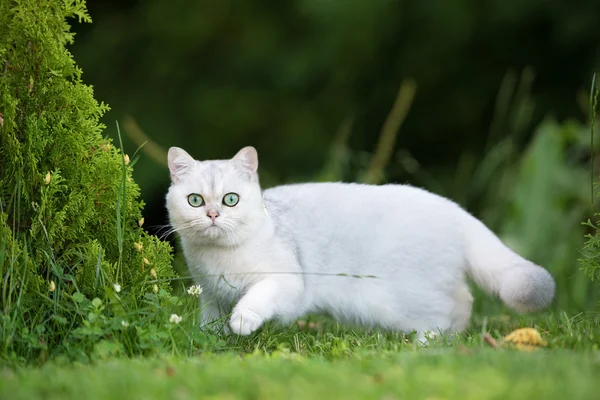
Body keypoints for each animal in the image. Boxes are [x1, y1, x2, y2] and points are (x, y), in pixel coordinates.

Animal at [166, 145, 556, 340]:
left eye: (230, 200)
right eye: (195, 200)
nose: (212, 215)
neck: (219, 260)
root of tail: (454, 209)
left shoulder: (286, 283)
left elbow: (255, 299)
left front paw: (242, 322)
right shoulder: (212, 296)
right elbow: (210, 324)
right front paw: (212, 343)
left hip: (403, 300)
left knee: (454, 308)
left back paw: (427, 346)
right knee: (463, 301)